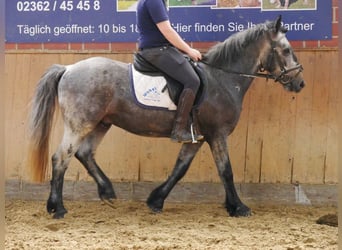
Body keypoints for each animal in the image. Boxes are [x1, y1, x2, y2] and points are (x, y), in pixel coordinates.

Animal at [28, 16, 304, 219]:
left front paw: (156, 200)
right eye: (286, 50)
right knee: (61, 158)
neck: (222, 78)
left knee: (84, 154)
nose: (300, 83)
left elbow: (180, 168)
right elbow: (226, 170)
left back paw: (106, 191)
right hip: (80, 124)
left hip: (101, 123)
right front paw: (239, 207)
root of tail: (68, 69)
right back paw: (57, 208)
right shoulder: (217, 134)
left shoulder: (197, 137)